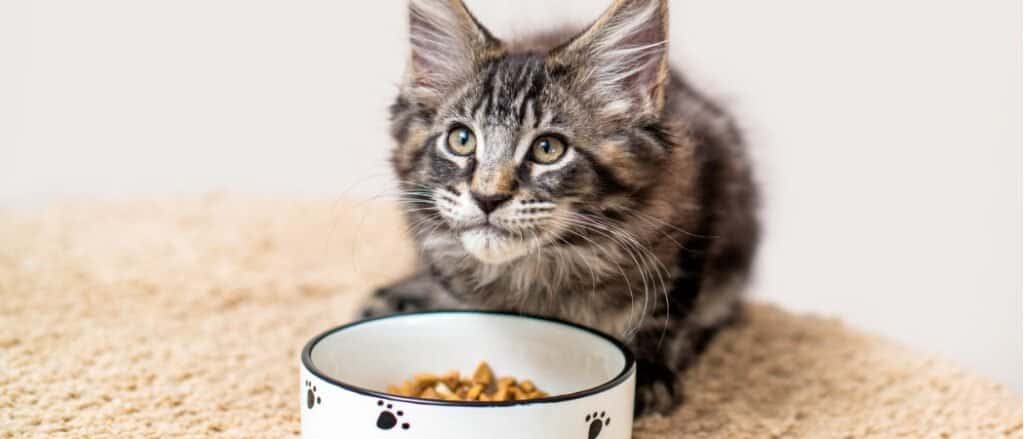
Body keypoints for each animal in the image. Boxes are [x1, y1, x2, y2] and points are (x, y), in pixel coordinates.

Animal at [356, 0, 757, 413]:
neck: (541, 270)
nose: (487, 197)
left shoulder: (698, 204)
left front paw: (648, 372)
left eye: (548, 149)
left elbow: (667, 308)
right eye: (461, 140)